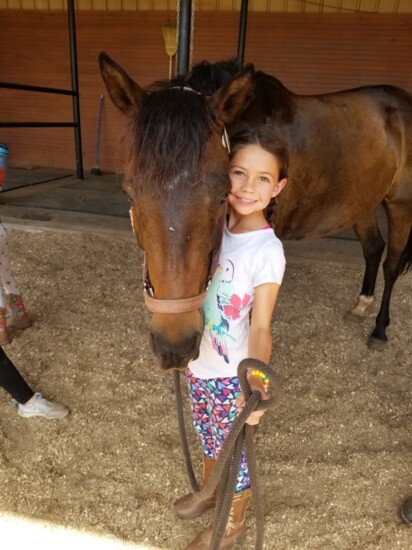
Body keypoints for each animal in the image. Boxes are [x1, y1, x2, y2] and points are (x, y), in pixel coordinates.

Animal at [100, 52, 412, 370]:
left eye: (222, 196)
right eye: (130, 194)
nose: (174, 346)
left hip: (400, 205)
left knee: (391, 265)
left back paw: (379, 329)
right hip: (362, 202)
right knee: (373, 248)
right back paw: (362, 305)